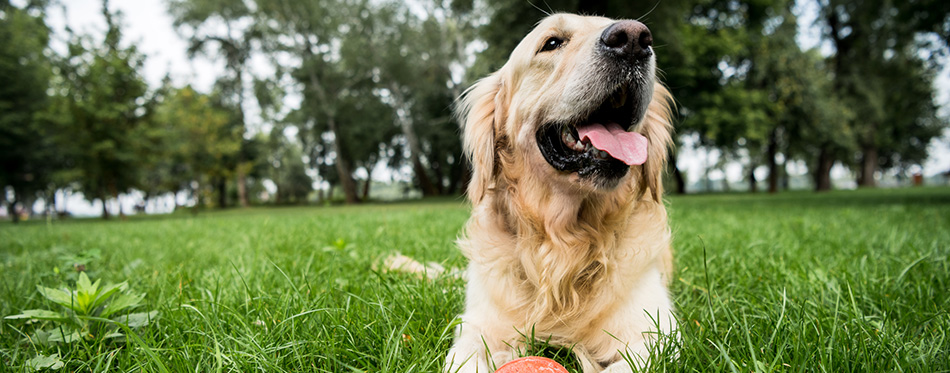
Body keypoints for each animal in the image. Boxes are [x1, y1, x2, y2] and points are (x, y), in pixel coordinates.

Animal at [444, 13, 676, 370]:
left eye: (640, 37)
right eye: (551, 42)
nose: (635, 39)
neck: (564, 241)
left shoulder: (657, 333)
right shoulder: (476, 328)